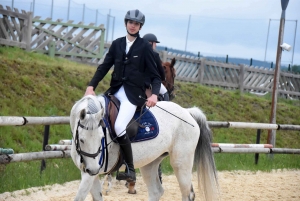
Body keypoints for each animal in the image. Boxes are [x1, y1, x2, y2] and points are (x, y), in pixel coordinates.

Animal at [71, 94, 220, 201]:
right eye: (82, 140)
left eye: (102, 137)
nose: (93, 169)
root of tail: (187, 112)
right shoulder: (89, 173)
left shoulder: (90, 174)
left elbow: (79, 197)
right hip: (150, 164)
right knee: (156, 192)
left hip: (181, 162)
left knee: (187, 194)